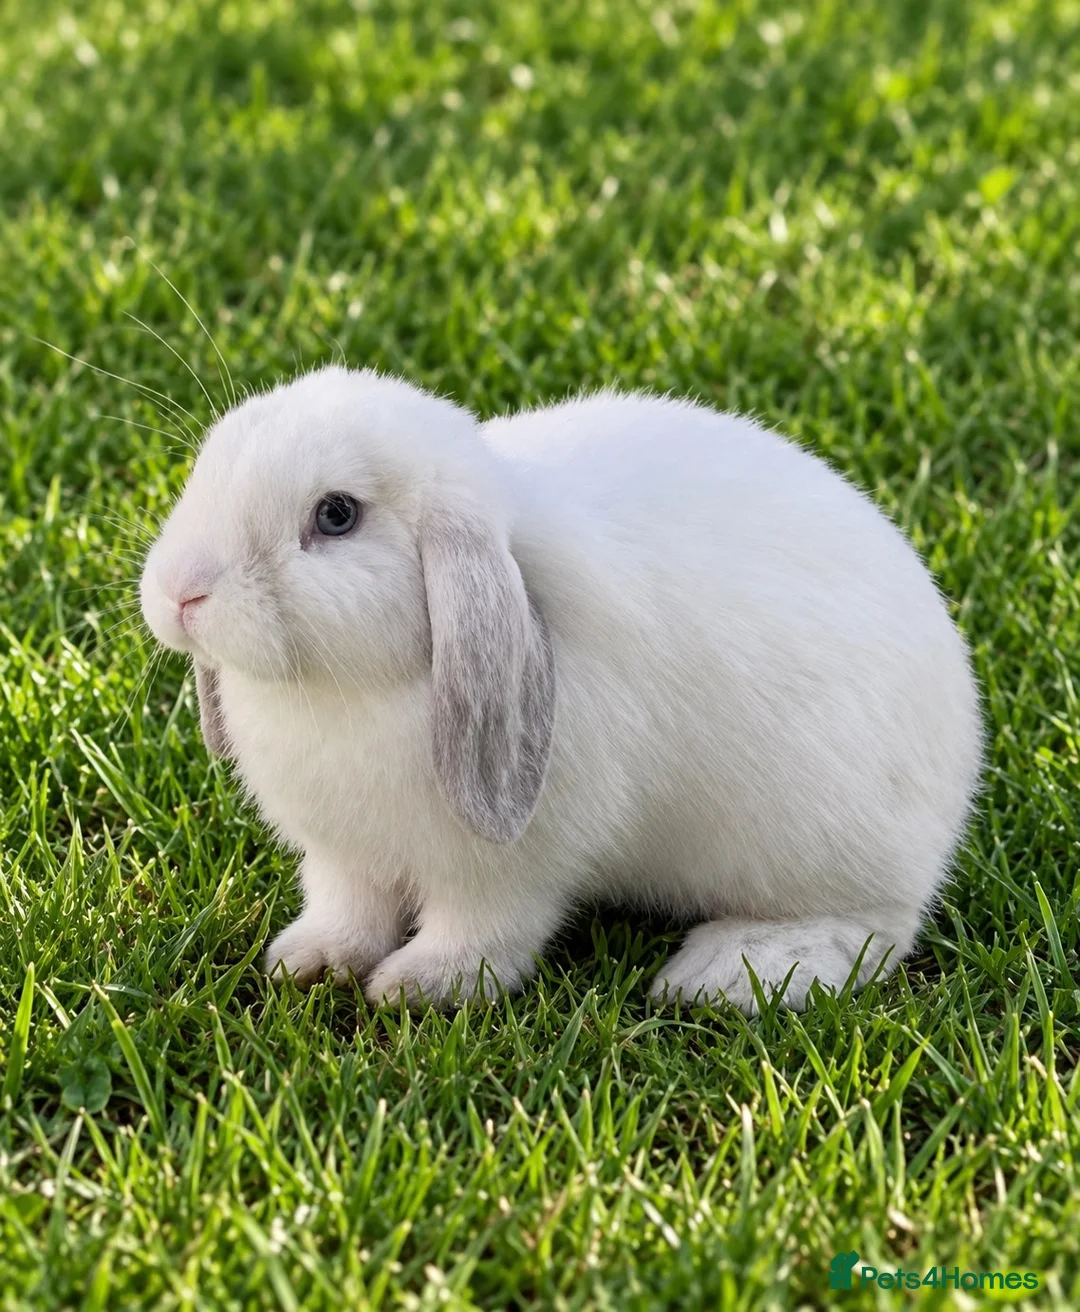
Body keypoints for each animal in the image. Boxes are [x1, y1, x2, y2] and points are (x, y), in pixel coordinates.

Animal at [139, 365, 982, 1015]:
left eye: (336, 515)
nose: (180, 591)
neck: (344, 694)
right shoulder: (345, 856)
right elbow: (347, 910)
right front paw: (308, 962)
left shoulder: (508, 870)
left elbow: (485, 931)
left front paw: (421, 987)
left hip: (821, 852)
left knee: (872, 930)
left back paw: (730, 974)